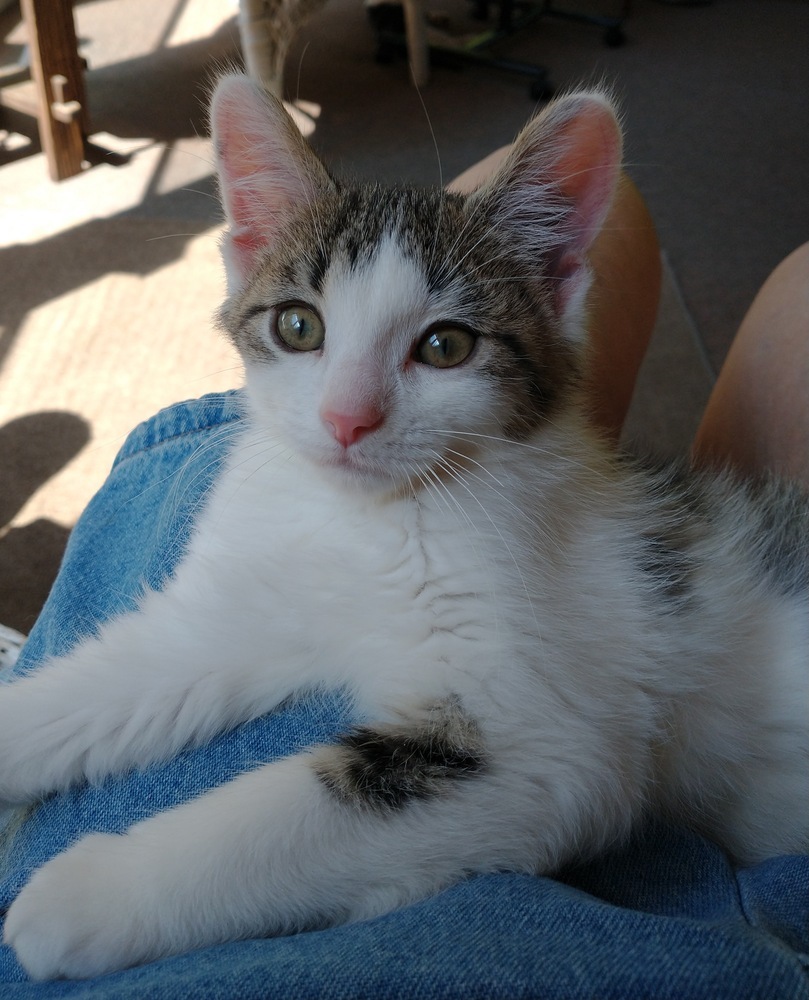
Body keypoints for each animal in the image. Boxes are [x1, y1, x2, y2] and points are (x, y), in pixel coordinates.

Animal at [1, 72, 807, 981]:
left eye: (446, 346)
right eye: (298, 326)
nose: (346, 420)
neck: (368, 523)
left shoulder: (549, 742)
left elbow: (288, 816)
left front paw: (87, 895)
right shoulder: (239, 601)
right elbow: (126, 673)